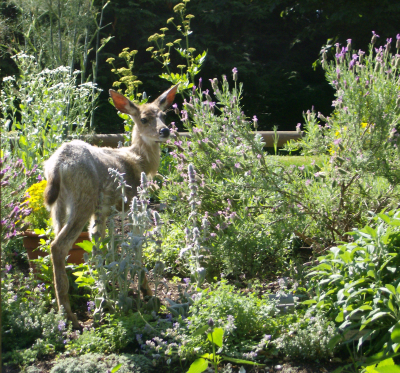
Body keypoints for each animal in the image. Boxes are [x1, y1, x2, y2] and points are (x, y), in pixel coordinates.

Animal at [43, 83, 178, 326]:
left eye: (163, 116)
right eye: (144, 119)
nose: (165, 131)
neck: (139, 161)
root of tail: (58, 163)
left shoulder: (102, 212)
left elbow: (99, 246)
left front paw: (104, 288)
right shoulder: (135, 204)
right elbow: (136, 245)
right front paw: (145, 290)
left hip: (58, 206)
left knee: (55, 240)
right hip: (83, 199)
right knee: (58, 246)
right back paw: (70, 316)